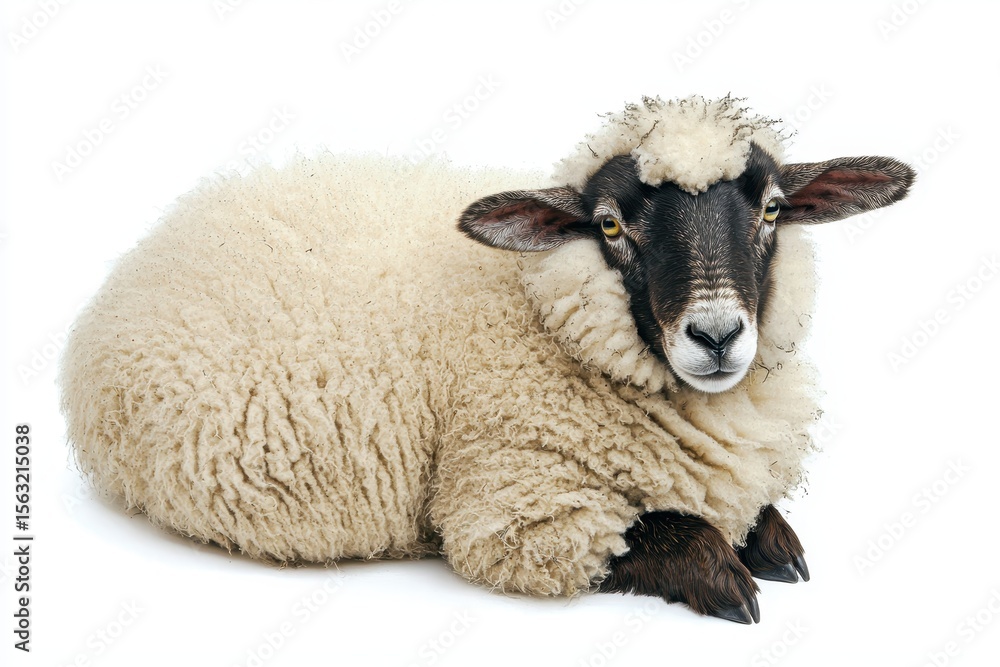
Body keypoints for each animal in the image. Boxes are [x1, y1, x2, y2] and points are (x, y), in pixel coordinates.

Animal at [60, 95, 914, 623]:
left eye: (771, 209)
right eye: (610, 224)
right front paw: (728, 576)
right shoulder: (512, 509)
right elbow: (661, 527)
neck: (534, 308)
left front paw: (774, 539)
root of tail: (152, 243)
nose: (716, 334)